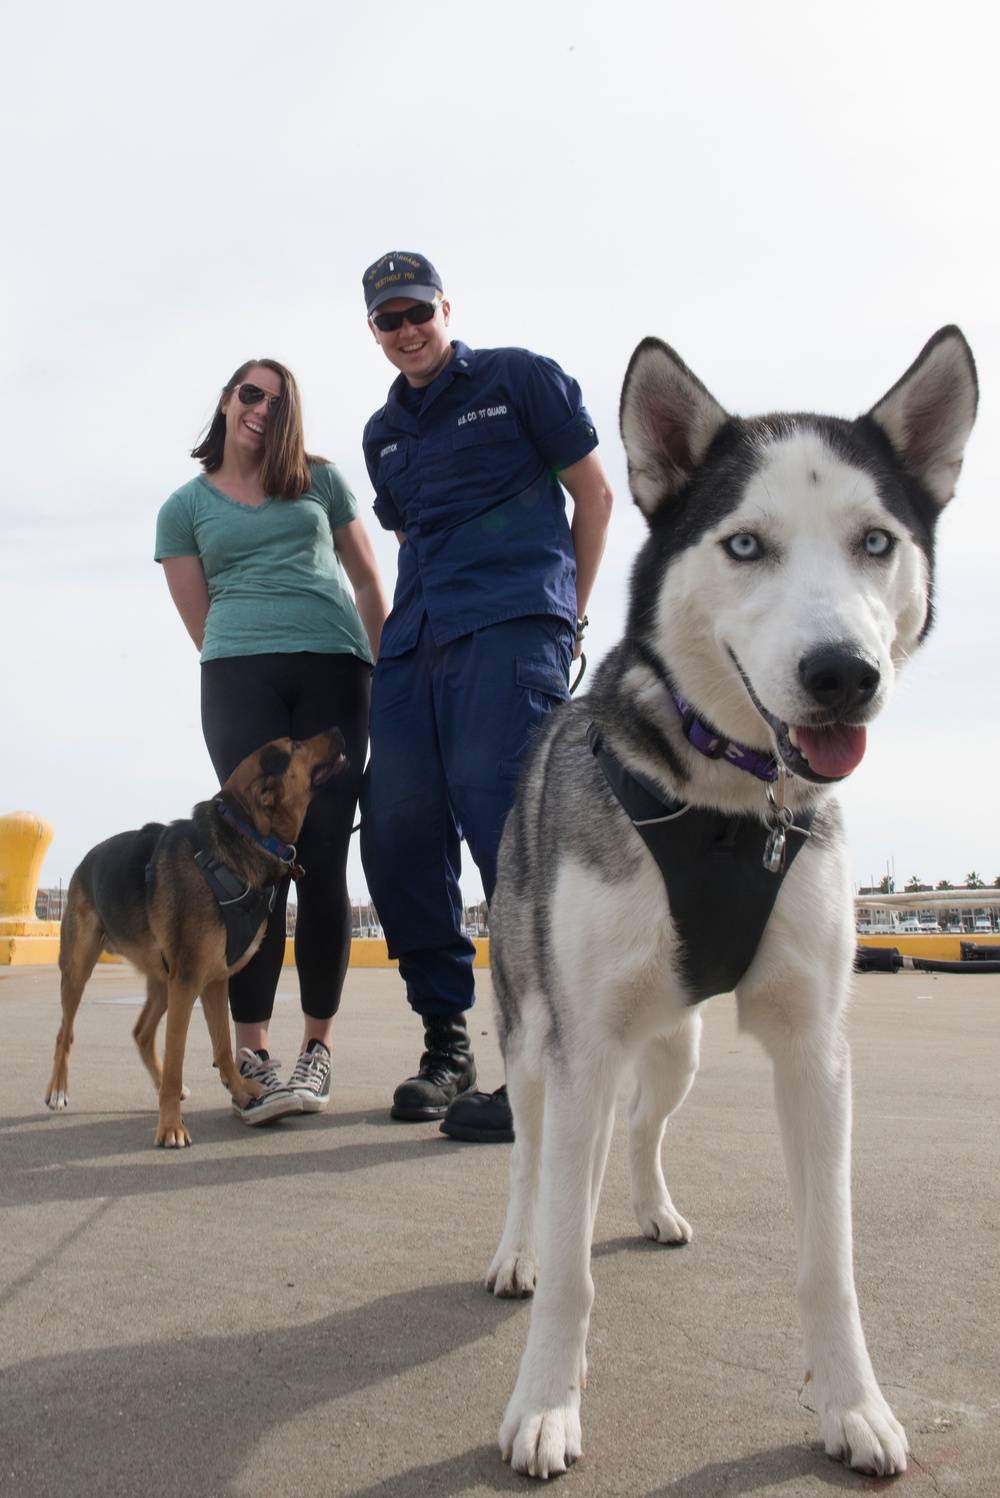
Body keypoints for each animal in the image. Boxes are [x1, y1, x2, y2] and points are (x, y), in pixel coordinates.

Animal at [45, 725, 347, 1144]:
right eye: (295, 745)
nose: (336, 728)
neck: (244, 835)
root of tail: (84, 859)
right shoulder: (189, 982)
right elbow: (177, 1060)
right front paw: (171, 1127)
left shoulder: (214, 979)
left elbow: (223, 1045)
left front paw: (241, 1089)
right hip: (80, 970)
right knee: (65, 1032)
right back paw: (58, 1091)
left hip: (162, 980)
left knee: (141, 1033)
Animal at [485, 325, 976, 1474]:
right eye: (745, 545)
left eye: (876, 542)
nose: (843, 674)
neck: (725, 799)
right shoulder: (580, 1044)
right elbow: (570, 1268)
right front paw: (546, 1403)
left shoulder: (813, 1048)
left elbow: (829, 1261)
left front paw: (853, 1406)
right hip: (536, 1039)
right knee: (535, 1157)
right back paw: (520, 1247)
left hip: (678, 1047)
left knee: (637, 1128)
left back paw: (648, 1206)